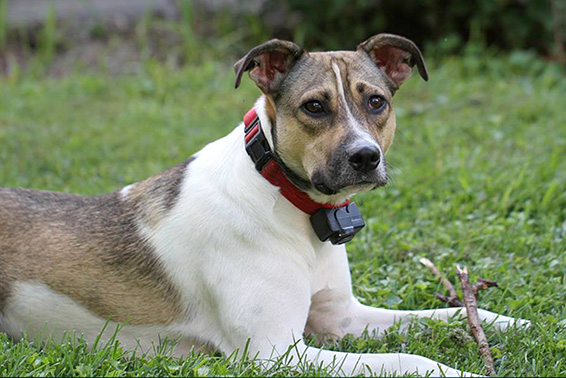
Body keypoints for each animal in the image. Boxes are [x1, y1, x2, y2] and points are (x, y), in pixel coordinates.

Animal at [2, 34, 532, 376]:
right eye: (314, 106)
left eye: (377, 102)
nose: (366, 157)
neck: (289, 202)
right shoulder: (277, 352)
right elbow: (410, 359)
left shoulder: (341, 317)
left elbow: (435, 317)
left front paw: (508, 322)